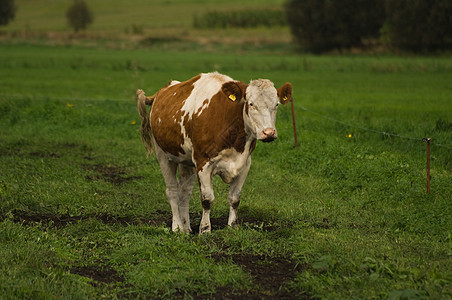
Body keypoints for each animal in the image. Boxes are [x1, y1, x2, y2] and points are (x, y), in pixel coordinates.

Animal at [137, 72, 294, 234]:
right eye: (251, 104)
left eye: (276, 105)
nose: (269, 133)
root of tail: (162, 91)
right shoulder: (203, 163)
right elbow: (207, 199)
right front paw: (205, 229)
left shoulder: (245, 164)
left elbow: (234, 198)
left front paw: (232, 226)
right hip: (163, 155)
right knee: (172, 191)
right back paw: (177, 227)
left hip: (186, 161)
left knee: (184, 192)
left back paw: (186, 228)